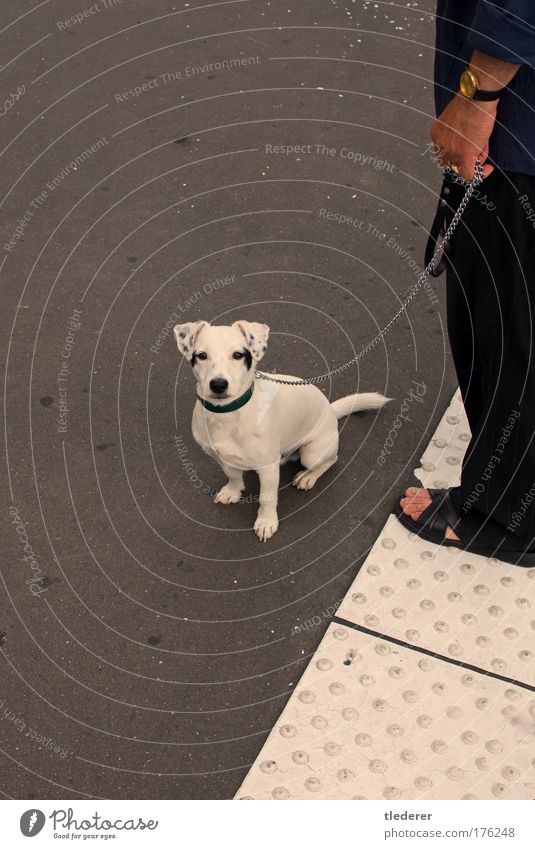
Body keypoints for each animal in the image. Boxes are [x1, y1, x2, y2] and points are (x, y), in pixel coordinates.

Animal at [176, 322, 390, 540]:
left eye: (237, 355)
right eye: (202, 355)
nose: (218, 385)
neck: (227, 414)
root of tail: (331, 410)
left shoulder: (268, 468)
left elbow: (267, 498)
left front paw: (266, 521)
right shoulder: (221, 457)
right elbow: (233, 476)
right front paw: (233, 491)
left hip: (312, 454)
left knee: (331, 460)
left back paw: (308, 476)